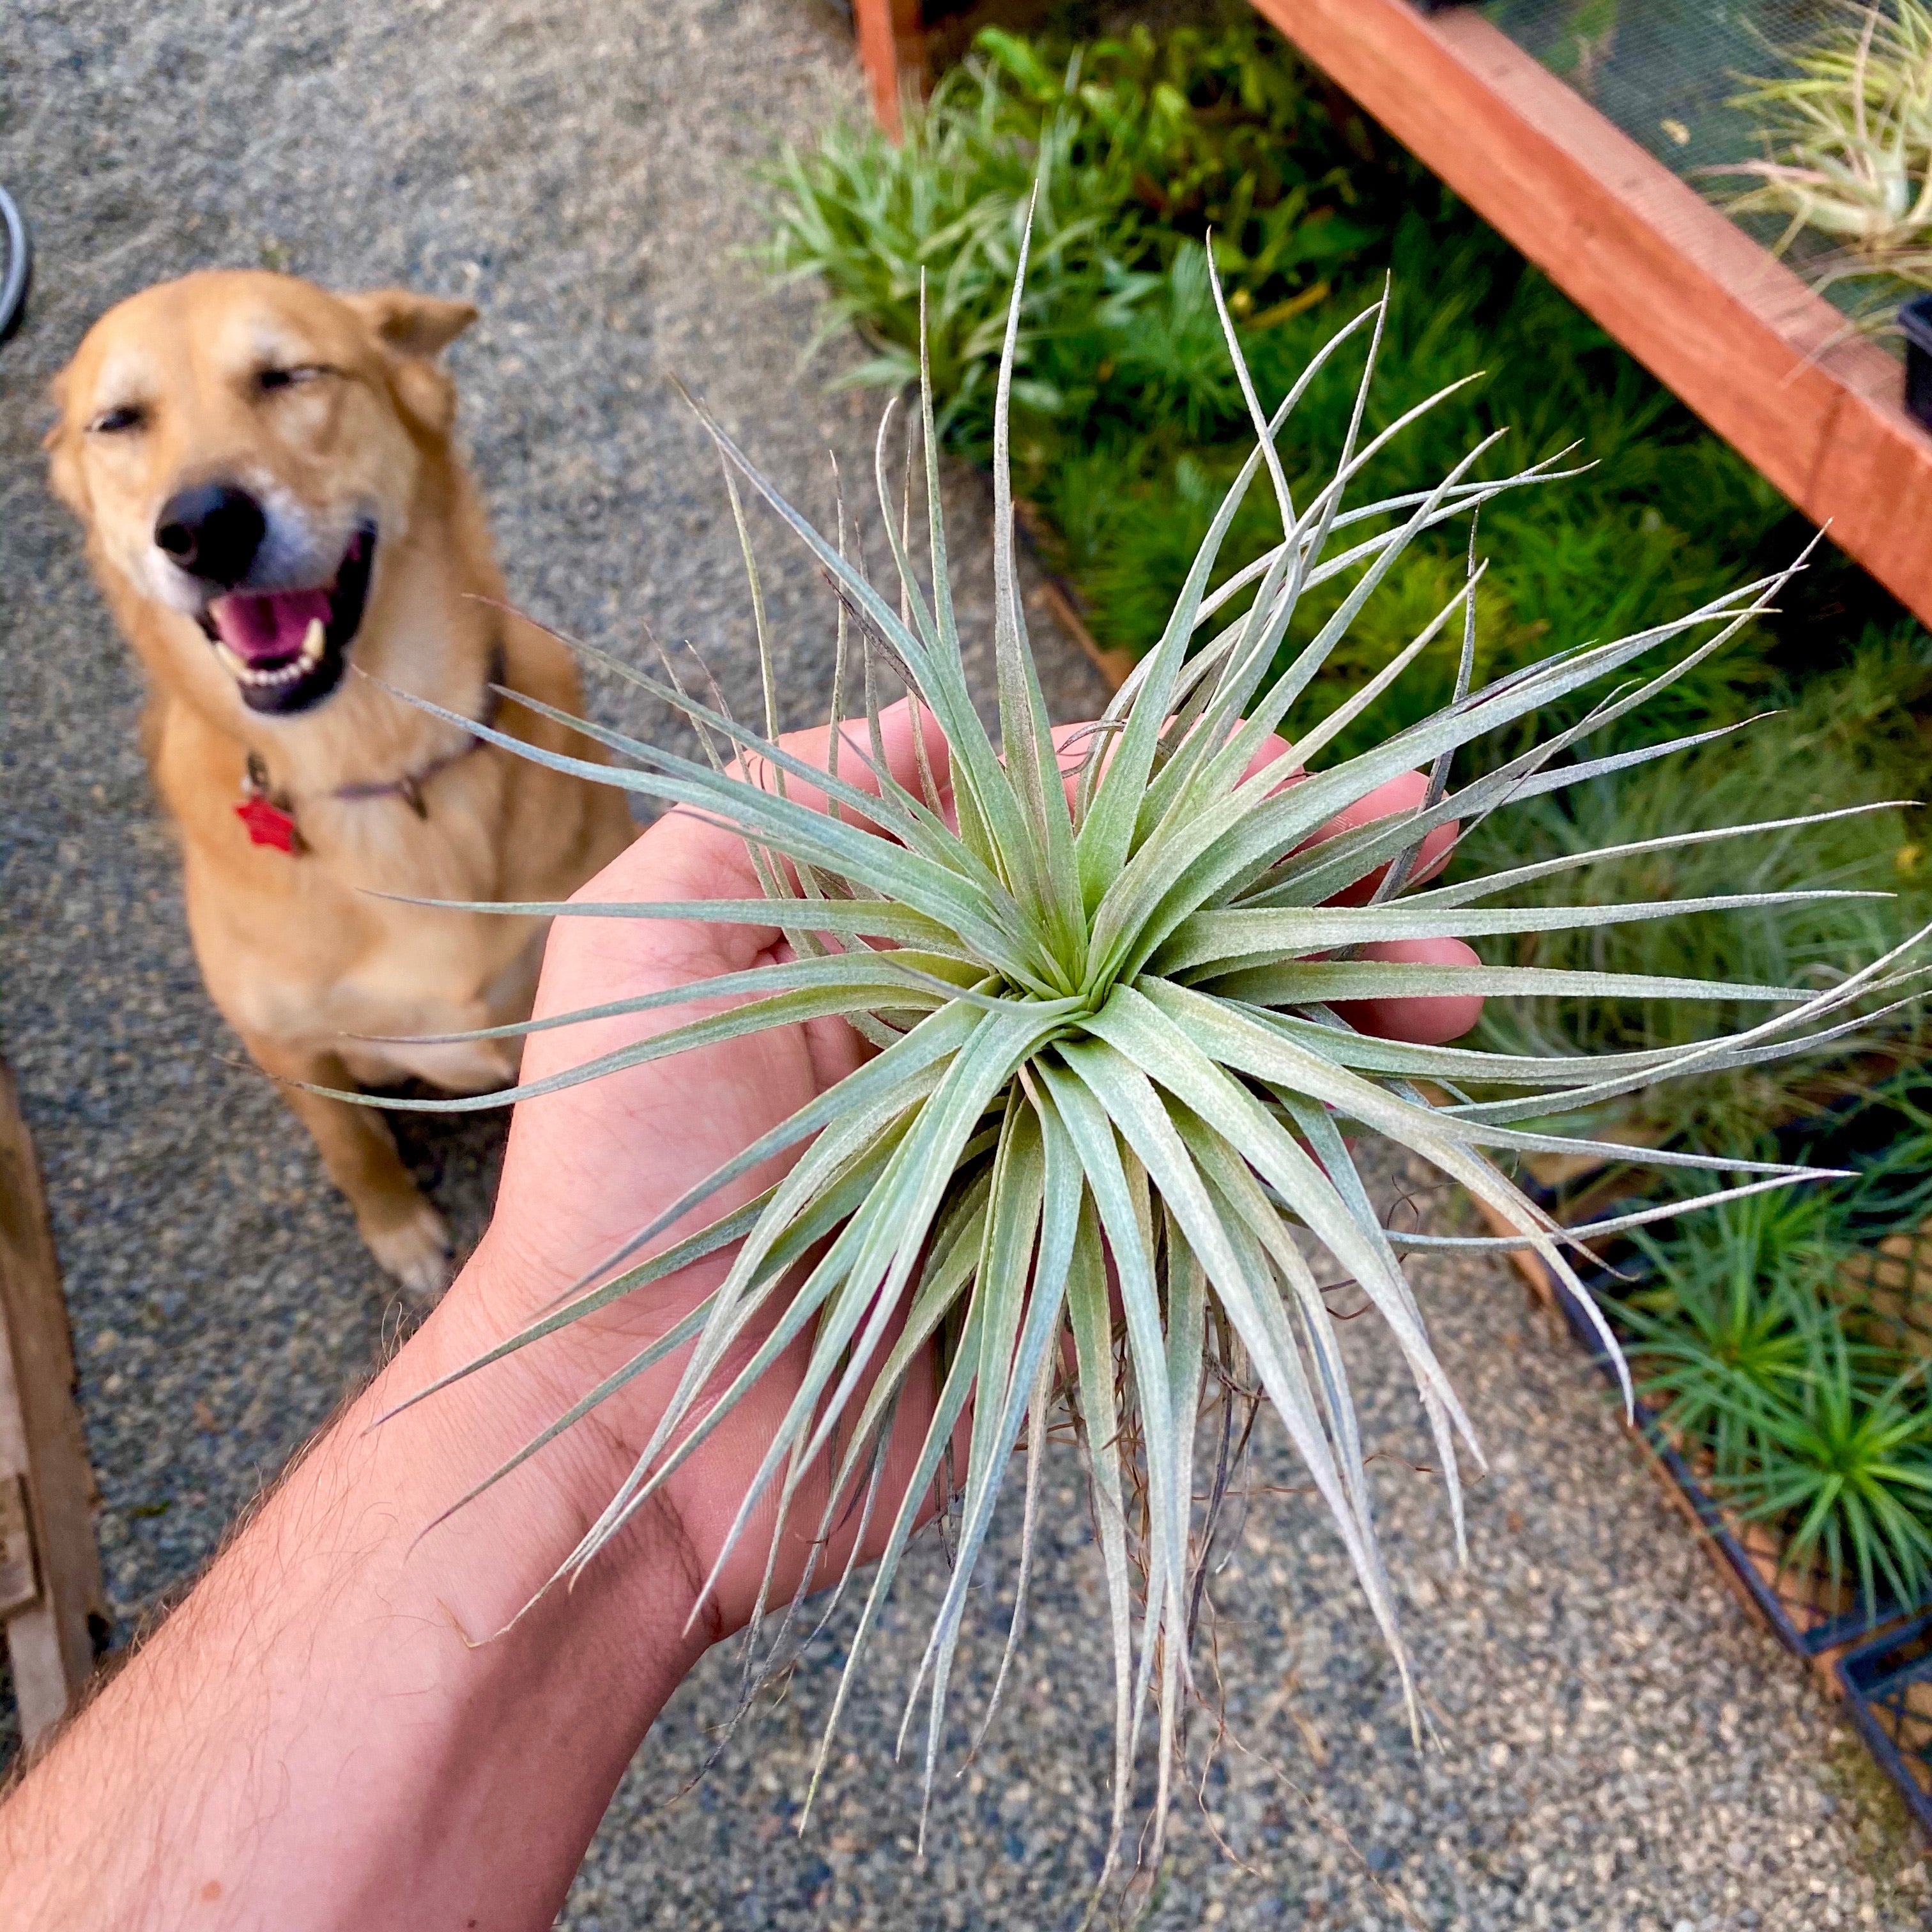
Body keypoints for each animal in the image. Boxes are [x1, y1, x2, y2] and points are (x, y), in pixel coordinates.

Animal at [47, 272, 633, 1291]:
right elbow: (350, 1147)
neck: (384, 774)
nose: (203, 526)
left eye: (289, 375)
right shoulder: (285, 1044)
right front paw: (402, 1233)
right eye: (117, 422)